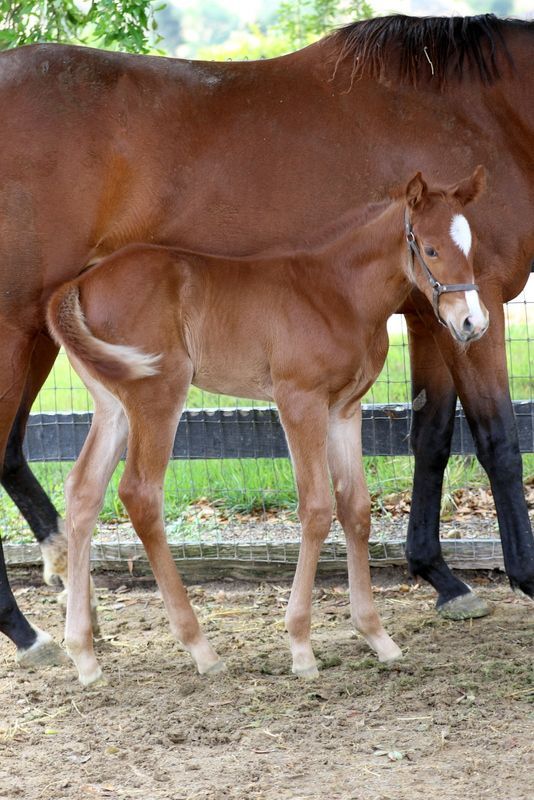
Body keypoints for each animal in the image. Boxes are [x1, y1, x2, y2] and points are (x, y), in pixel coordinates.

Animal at [46, 169, 488, 685]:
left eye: (471, 246)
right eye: (432, 249)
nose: (472, 323)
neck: (337, 291)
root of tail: (80, 283)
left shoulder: (345, 410)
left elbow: (356, 509)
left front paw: (377, 637)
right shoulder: (298, 400)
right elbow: (316, 508)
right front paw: (300, 646)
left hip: (113, 403)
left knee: (83, 490)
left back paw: (84, 655)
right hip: (158, 393)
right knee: (139, 492)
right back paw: (200, 648)